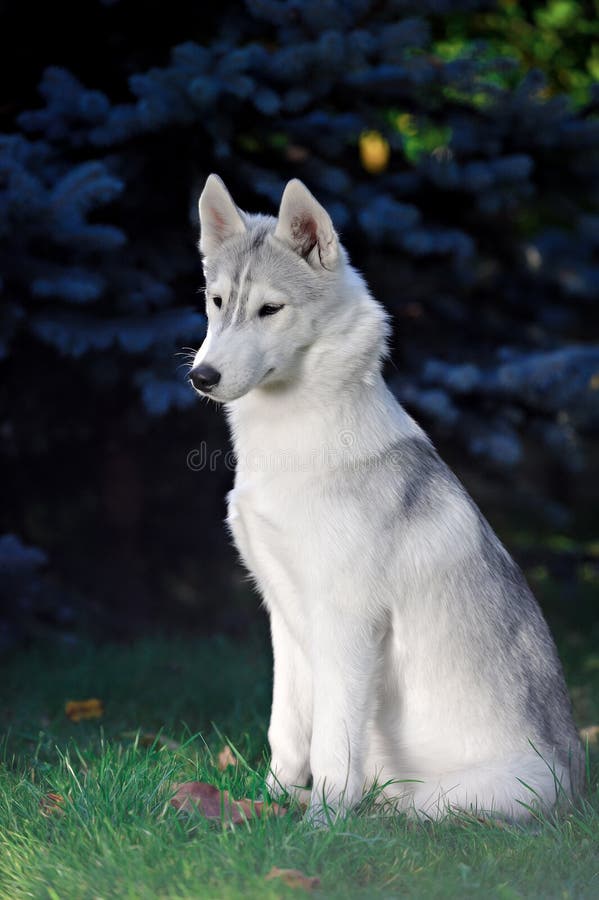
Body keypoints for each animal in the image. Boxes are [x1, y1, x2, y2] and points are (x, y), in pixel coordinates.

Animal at [190, 174, 584, 824]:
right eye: (217, 302)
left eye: (271, 309)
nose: (202, 376)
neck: (293, 443)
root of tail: (577, 791)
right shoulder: (284, 616)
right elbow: (286, 731)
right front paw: (270, 805)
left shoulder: (348, 625)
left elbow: (332, 746)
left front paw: (320, 827)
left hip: (447, 799)